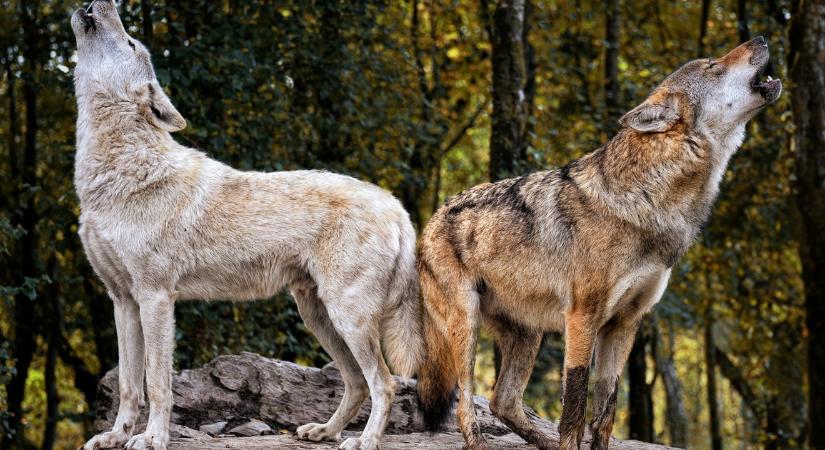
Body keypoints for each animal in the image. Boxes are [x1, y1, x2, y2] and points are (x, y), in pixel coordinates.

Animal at [71, 1, 424, 448]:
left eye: (131, 42)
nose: (104, 4)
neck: (118, 172)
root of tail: (396, 206)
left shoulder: (156, 297)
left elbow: (157, 383)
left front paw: (152, 439)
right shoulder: (122, 300)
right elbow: (130, 385)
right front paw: (116, 436)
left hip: (348, 317)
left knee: (384, 383)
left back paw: (364, 440)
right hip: (318, 317)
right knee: (358, 383)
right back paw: (324, 431)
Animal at [416, 37, 784, 448]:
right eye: (712, 66)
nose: (761, 39)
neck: (649, 199)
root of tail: (432, 216)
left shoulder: (626, 323)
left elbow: (607, 406)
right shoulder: (583, 317)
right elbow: (575, 405)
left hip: (529, 335)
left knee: (503, 402)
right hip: (467, 325)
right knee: (466, 400)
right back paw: (480, 440)